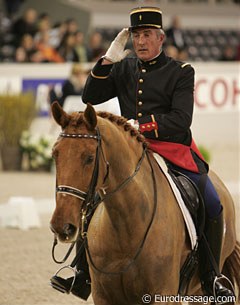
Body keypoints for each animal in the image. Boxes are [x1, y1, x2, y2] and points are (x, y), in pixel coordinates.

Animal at [49, 102, 239, 304]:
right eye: (55, 155)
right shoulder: (103, 296)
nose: (62, 226)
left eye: (89, 158)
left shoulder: (162, 293)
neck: (126, 227)